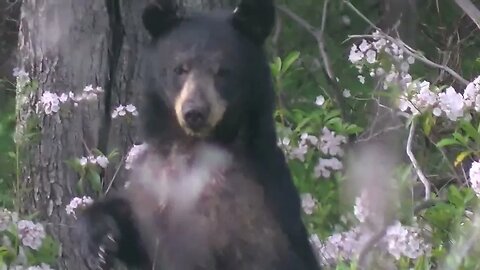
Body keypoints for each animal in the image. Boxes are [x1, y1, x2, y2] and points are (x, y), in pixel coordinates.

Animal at [77, 0, 320, 268]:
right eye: (180, 68)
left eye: (223, 71)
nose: (195, 112)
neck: (193, 147)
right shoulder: (151, 187)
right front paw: (99, 241)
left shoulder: (255, 203)